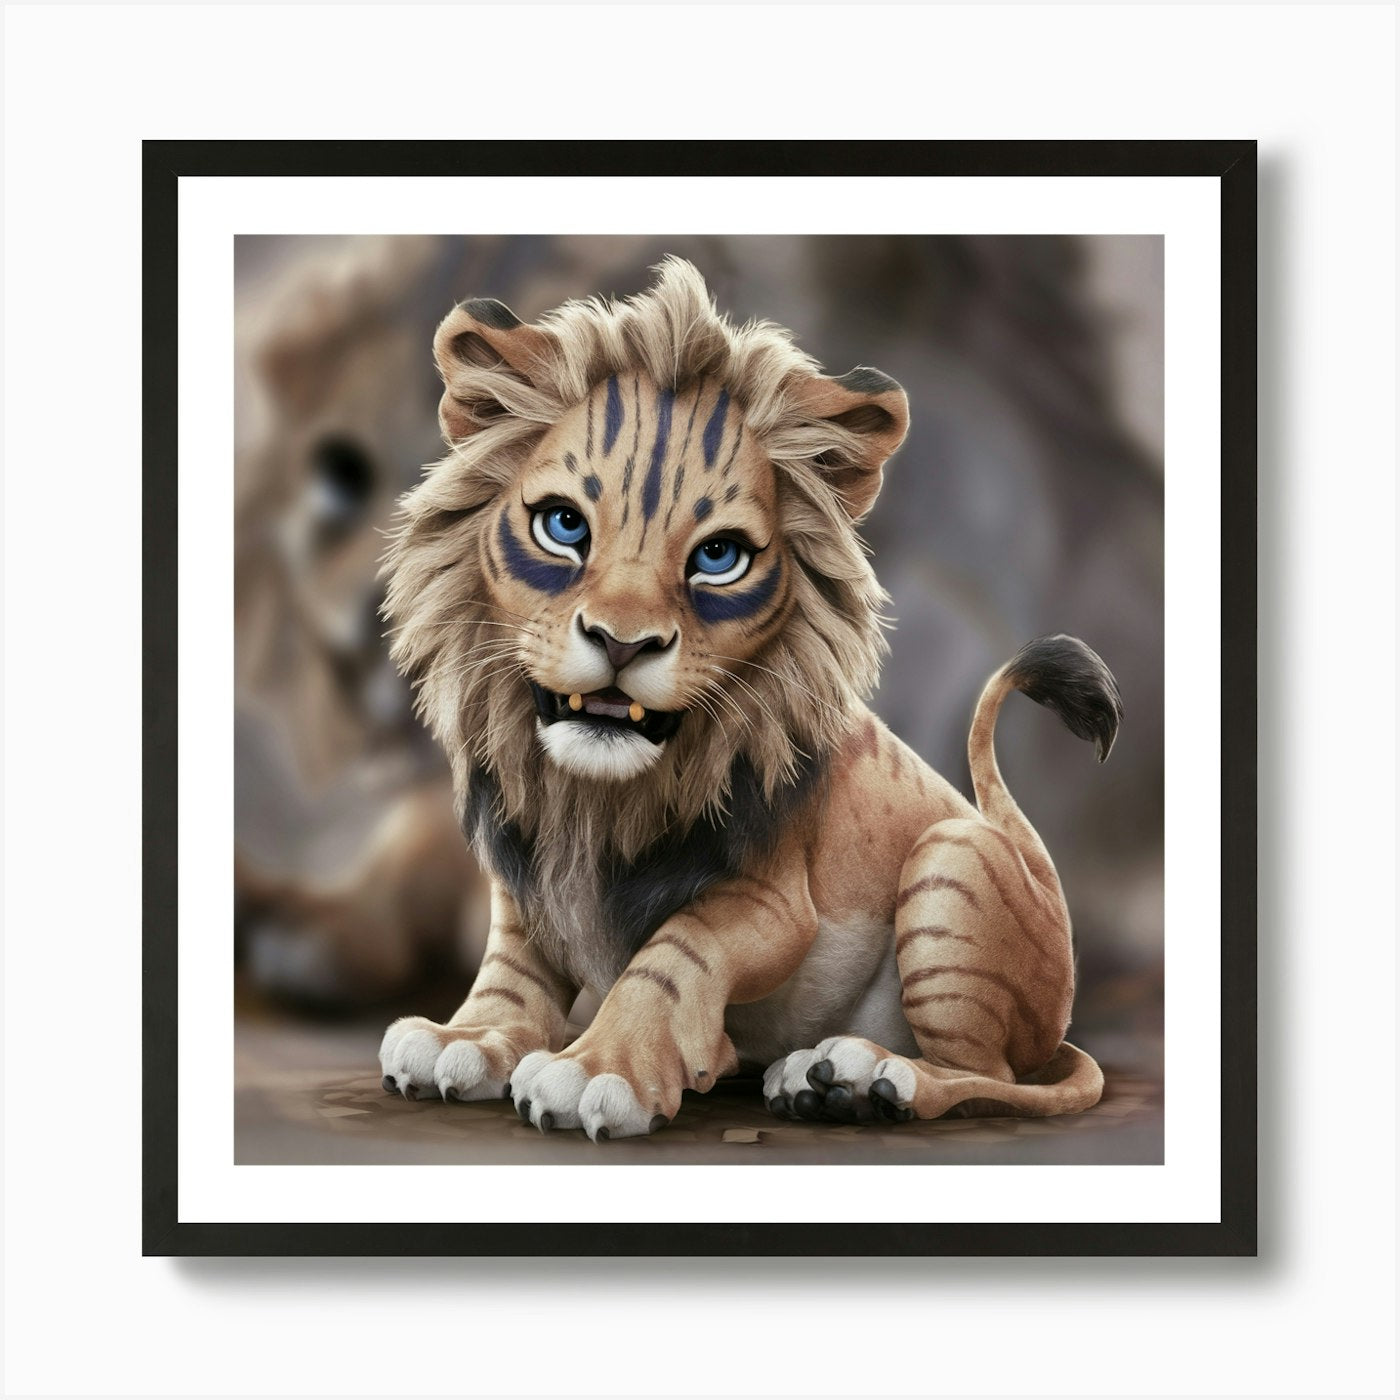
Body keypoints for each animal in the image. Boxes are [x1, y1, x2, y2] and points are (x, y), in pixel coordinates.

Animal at [378, 257, 1121, 1138]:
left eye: (719, 558)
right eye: (563, 527)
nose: (623, 643)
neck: (590, 803)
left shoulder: (771, 900)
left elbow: (675, 951)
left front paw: (598, 1068)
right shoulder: (528, 880)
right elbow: (513, 962)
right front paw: (467, 1037)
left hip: (955, 857)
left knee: (990, 1075)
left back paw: (859, 1077)